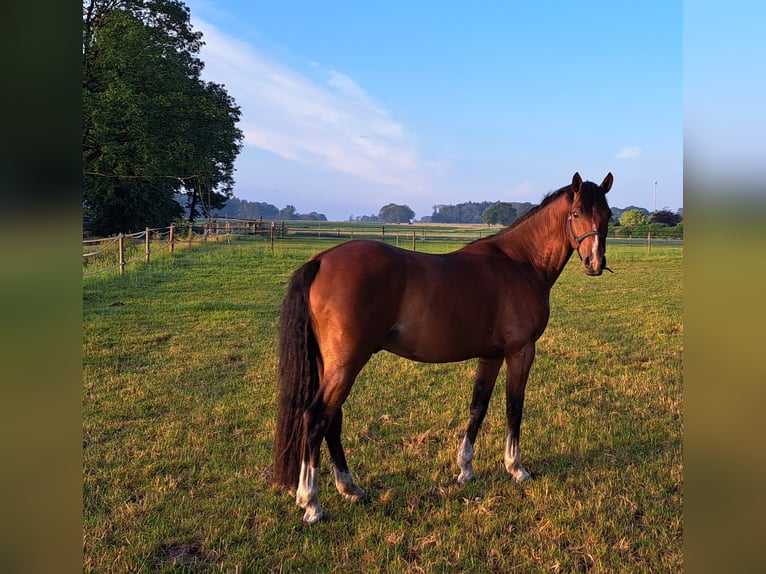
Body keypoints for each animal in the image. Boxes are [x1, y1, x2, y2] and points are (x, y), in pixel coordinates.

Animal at [273, 172, 613, 524]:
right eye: (576, 214)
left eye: (607, 216)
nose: (595, 262)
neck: (521, 263)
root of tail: (320, 260)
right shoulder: (520, 351)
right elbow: (514, 407)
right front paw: (516, 468)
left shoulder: (491, 355)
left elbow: (478, 407)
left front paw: (466, 469)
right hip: (346, 364)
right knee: (316, 418)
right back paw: (311, 502)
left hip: (331, 364)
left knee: (333, 420)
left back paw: (350, 488)